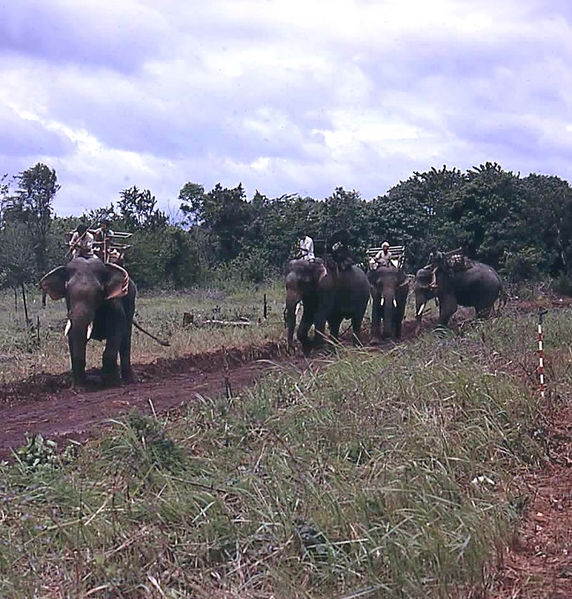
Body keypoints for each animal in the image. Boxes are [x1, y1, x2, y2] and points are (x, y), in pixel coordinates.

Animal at [39, 256, 136, 386]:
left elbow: (117, 328)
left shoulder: (115, 303)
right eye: (67, 290)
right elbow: (74, 335)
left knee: (126, 338)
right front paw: (79, 386)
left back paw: (128, 380)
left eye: (99, 291)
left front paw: (109, 382)